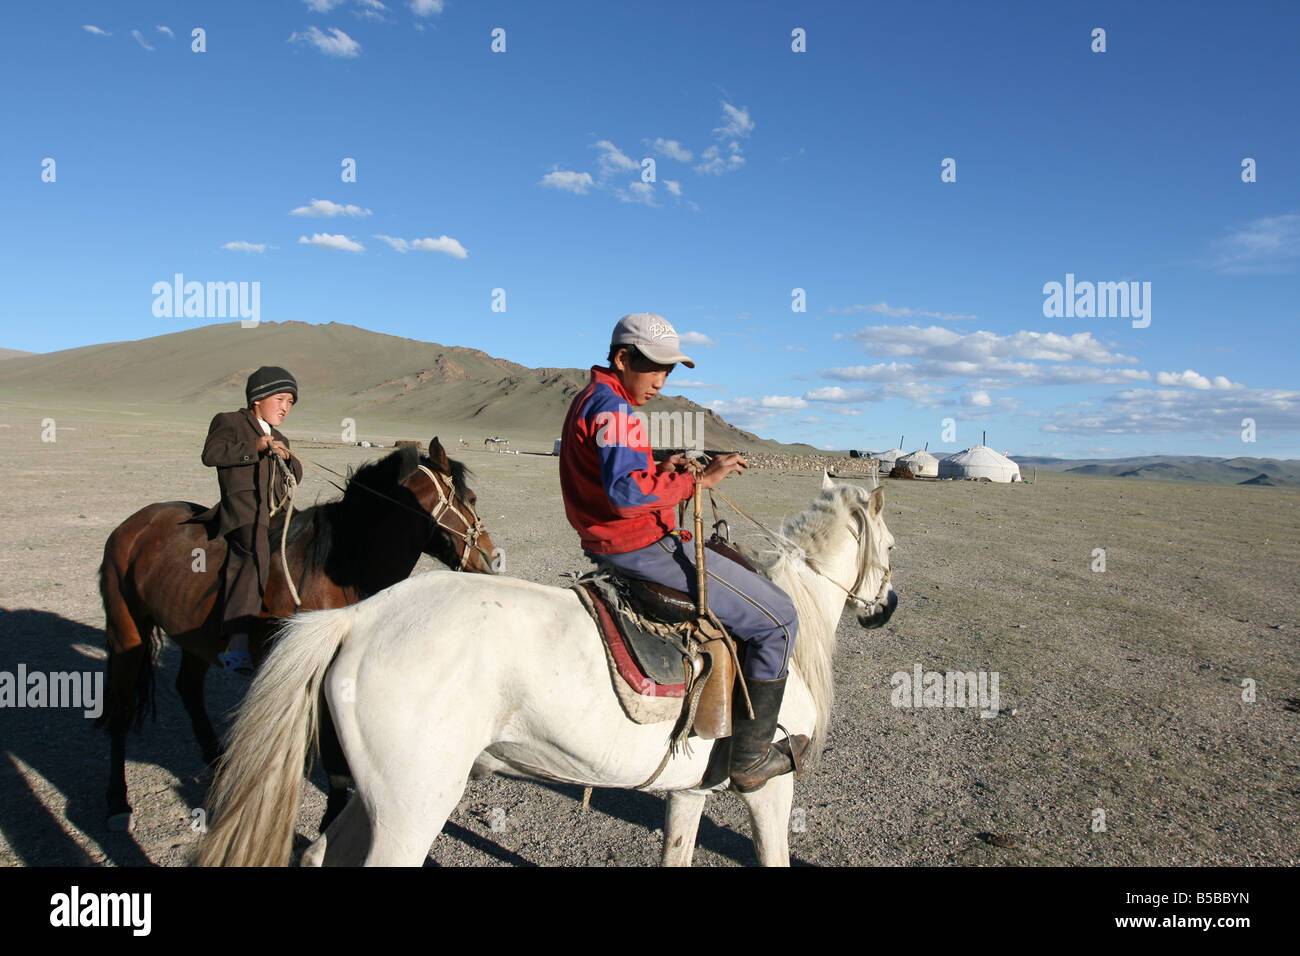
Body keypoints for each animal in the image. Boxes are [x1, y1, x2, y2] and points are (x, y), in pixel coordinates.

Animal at [97, 437, 496, 832]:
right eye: (472, 499)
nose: (491, 557)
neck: (346, 565)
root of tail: (134, 524)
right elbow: (334, 756)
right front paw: (329, 822)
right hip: (125, 628)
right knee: (121, 710)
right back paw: (117, 803)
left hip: (194, 637)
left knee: (189, 690)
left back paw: (218, 767)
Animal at [197, 476, 899, 868]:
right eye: (891, 548)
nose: (887, 607)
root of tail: (357, 619)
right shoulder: (769, 786)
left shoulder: (690, 790)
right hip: (410, 809)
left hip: (373, 800)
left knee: (318, 853)